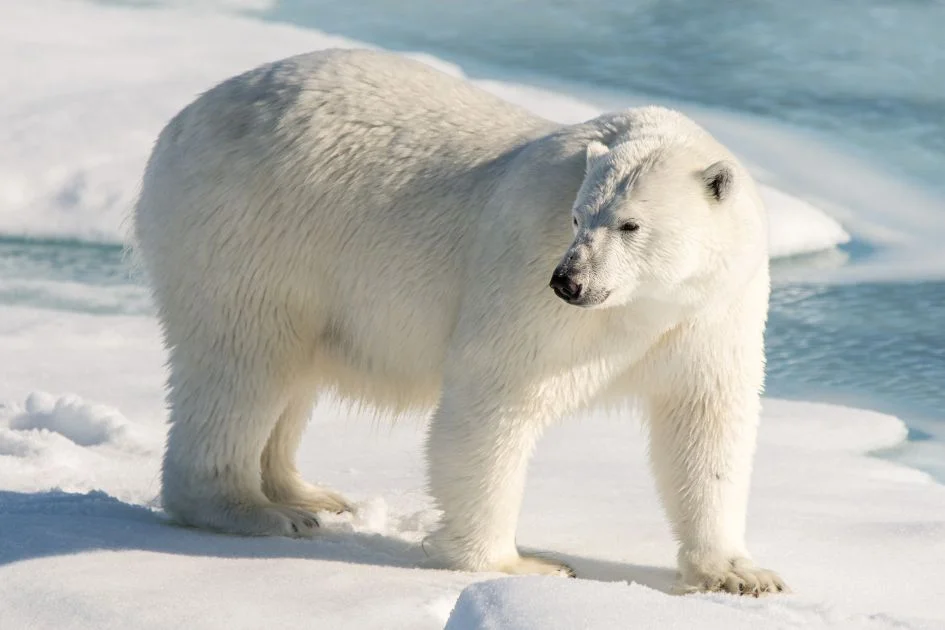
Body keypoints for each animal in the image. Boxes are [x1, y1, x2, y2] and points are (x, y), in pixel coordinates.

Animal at [131, 49, 780, 596]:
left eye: (630, 224)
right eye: (577, 217)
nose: (568, 281)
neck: (643, 306)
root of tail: (180, 123)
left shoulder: (713, 311)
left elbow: (706, 422)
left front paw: (741, 574)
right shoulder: (529, 279)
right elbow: (494, 400)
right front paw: (519, 564)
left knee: (290, 372)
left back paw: (308, 493)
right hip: (249, 231)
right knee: (243, 360)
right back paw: (258, 510)